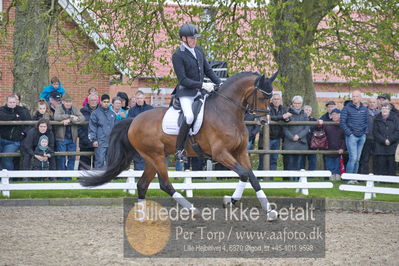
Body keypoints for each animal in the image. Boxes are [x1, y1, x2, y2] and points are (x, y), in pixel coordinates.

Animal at [81, 70, 280, 220]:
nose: (264, 121)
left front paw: (269, 210)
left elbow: (252, 177)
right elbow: (244, 174)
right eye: (262, 96)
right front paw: (229, 201)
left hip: (152, 158)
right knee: (164, 185)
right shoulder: (221, 154)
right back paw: (192, 210)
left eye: (271, 97)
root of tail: (134, 121)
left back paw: (141, 217)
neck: (227, 112)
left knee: (142, 185)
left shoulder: (240, 152)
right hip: (156, 156)